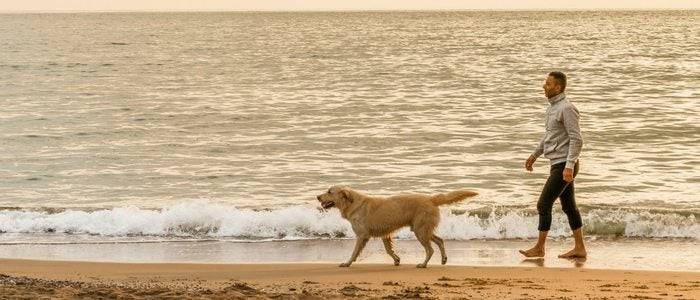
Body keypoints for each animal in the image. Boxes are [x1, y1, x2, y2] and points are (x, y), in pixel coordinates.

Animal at [316, 185, 476, 268]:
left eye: (329, 192)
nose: (317, 196)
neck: (352, 203)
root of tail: (430, 199)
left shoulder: (362, 236)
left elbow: (354, 252)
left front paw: (347, 263)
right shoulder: (384, 233)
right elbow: (388, 250)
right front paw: (396, 259)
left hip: (420, 231)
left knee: (430, 249)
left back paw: (423, 264)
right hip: (423, 229)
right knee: (440, 240)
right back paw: (443, 259)